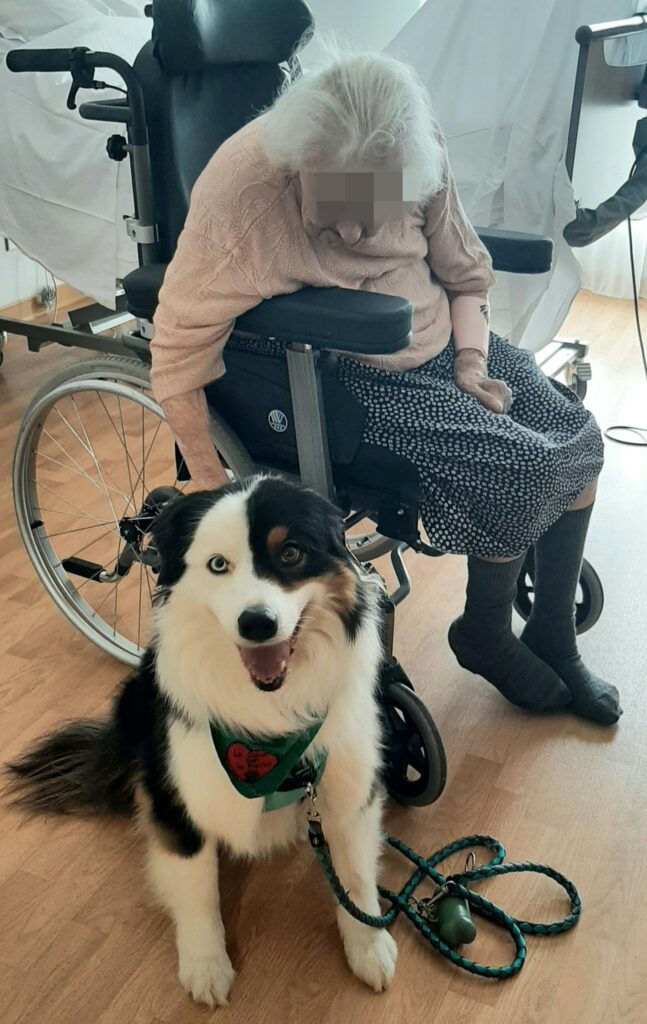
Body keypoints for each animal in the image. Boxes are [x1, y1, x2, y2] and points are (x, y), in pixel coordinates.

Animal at [7, 476, 397, 1006]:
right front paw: (206, 968)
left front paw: (369, 949)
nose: (257, 623)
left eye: (291, 553)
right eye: (217, 565)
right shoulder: (178, 796)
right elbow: (197, 892)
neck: (268, 719)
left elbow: (355, 875)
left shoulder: (348, 782)